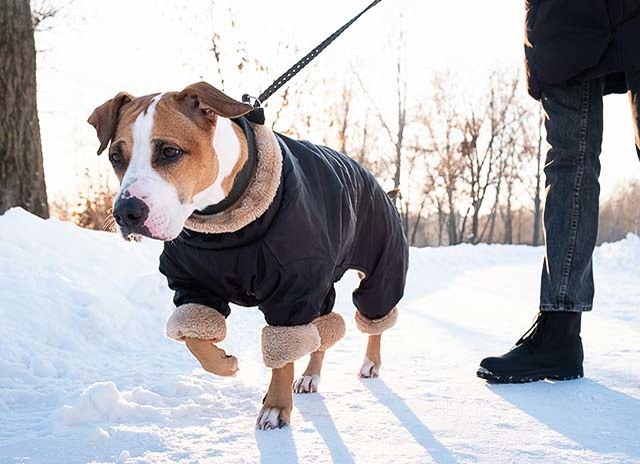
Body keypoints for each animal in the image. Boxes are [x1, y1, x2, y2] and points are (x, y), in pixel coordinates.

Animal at [87, 81, 408, 430]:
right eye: (116, 157)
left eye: (169, 152)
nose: (125, 212)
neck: (222, 225)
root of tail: (377, 184)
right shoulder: (191, 284)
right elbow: (196, 338)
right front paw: (226, 363)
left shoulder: (293, 289)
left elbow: (282, 355)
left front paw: (276, 407)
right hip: (322, 285)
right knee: (324, 328)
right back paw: (311, 375)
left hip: (381, 266)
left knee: (375, 314)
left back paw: (370, 362)